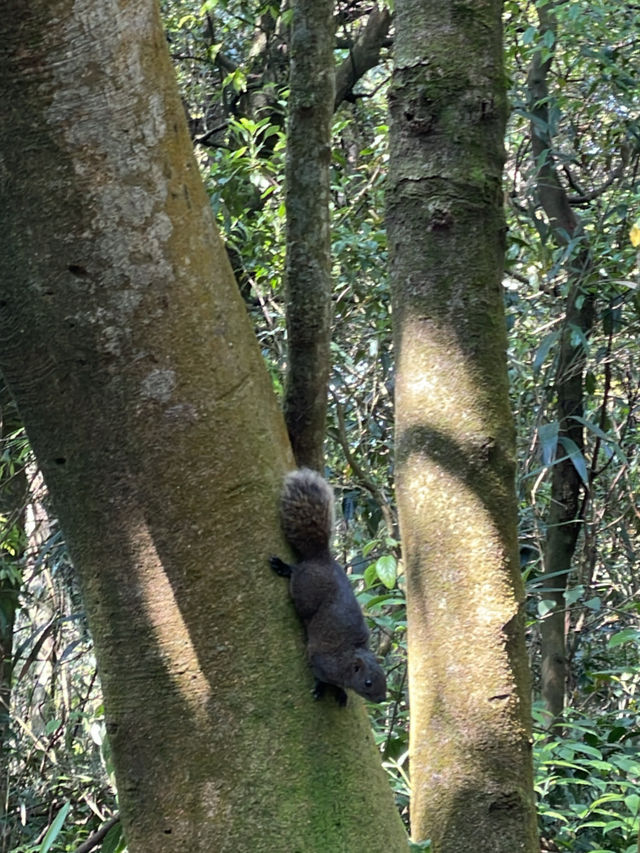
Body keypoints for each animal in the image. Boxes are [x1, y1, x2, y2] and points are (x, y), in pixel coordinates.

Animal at [268, 466, 388, 704]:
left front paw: (341, 692)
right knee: (297, 577)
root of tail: (321, 558)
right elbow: (320, 675)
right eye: (368, 682)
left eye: (385, 679)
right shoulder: (322, 661)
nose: (381, 699)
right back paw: (285, 568)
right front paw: (322, 687)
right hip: (305, 591)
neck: (349, 657)